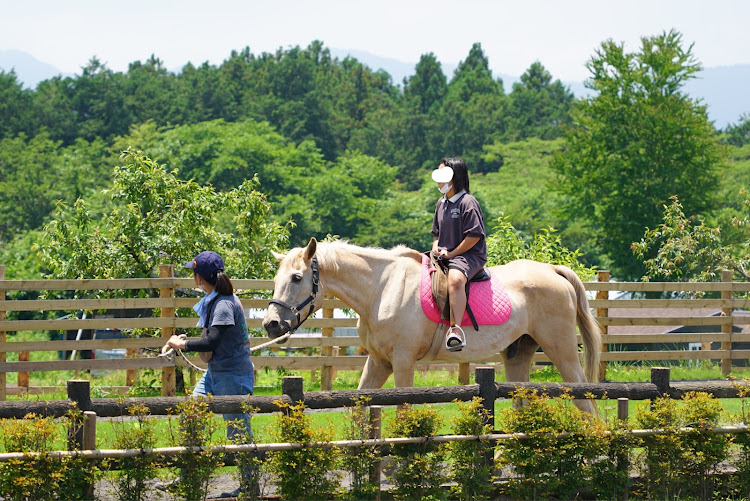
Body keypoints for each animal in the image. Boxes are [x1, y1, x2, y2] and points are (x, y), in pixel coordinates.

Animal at [264, 236, 604, 412]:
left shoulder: (402, 362)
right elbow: (359, 406)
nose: (271, 325)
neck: (381, 288)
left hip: (561, 349)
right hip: (518, 354)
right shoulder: (379, 361)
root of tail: (553, 270)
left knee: (582, 396)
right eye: (277, 279)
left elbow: (403, 410)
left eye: (297, 278)